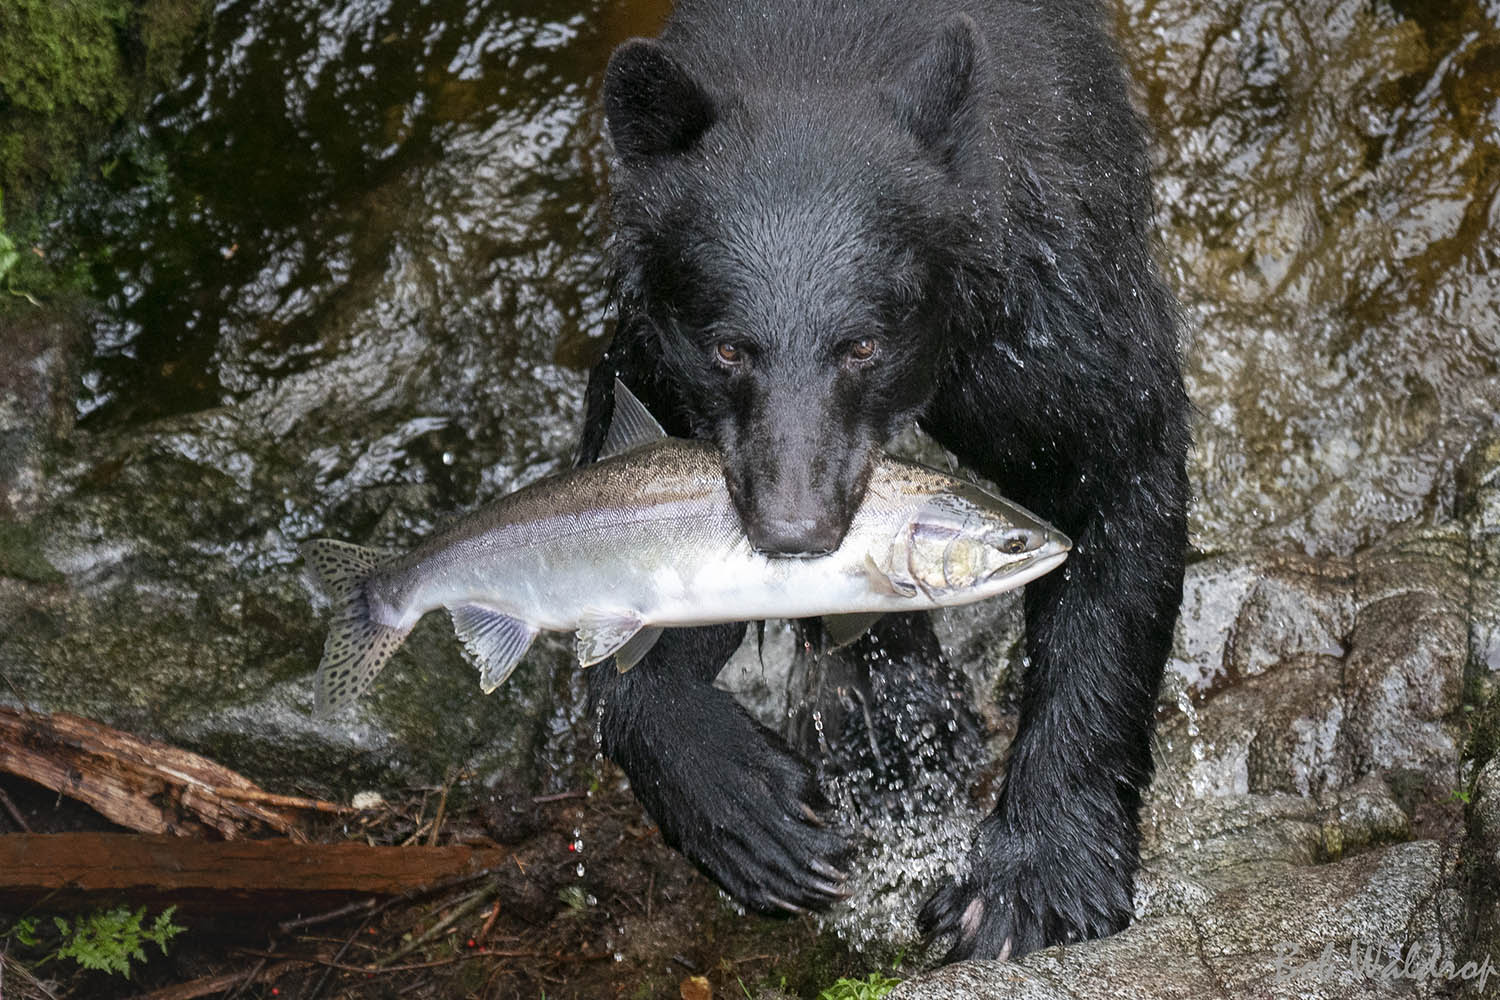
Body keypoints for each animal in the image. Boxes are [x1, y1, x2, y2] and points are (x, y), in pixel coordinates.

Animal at [570, 0, 1182, 959]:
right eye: (728, 348)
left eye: (862, 343)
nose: (793, 529)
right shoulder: (660, 361)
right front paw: (751, 811)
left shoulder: (1039, 321)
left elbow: (1117, 474)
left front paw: (1029, 881)